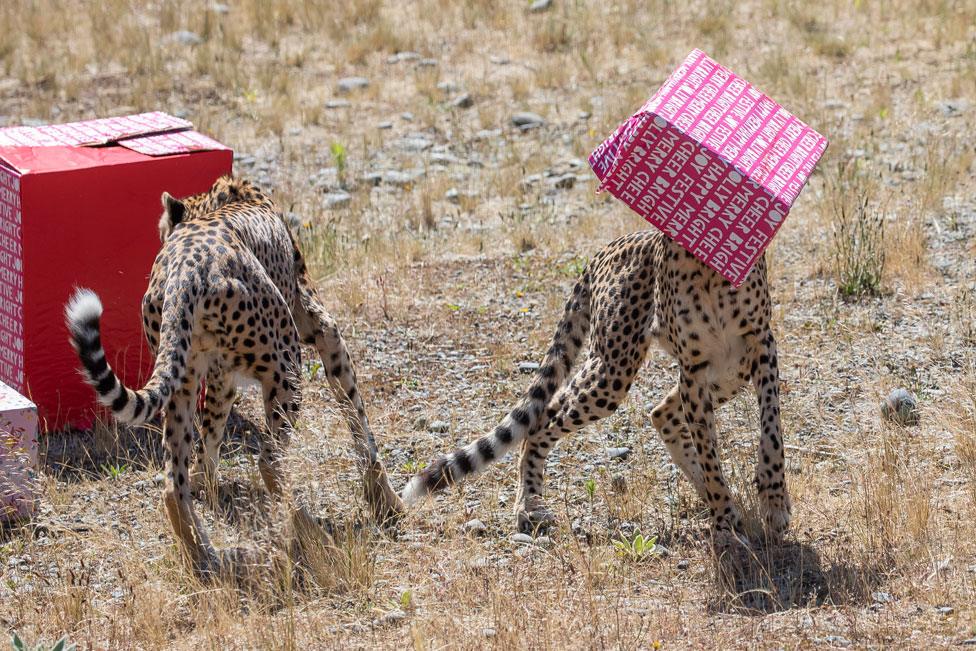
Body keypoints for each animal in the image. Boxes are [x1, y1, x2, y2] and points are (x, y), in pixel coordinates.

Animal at [66, 176, 404, 572]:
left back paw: (202, 558)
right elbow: (357, 416)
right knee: (271, 463)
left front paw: (206, 482)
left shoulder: (219, 377)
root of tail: (184, 266)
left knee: (173, 482)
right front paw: (386, 500)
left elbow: (209, 437)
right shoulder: (325, 330)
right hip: (286, 362)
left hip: (182, 383)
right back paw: (314, 538)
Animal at [400, 230, 788, 552]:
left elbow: (771, 433)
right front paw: (725, 522)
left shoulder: (760, 345)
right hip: (612, 370)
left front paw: (773, 502)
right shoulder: (693, 368)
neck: (708, 269)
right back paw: (529, 505)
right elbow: (709, 452)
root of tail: (609, 246)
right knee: (542, 419)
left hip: (728, 370)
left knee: (661, 411)